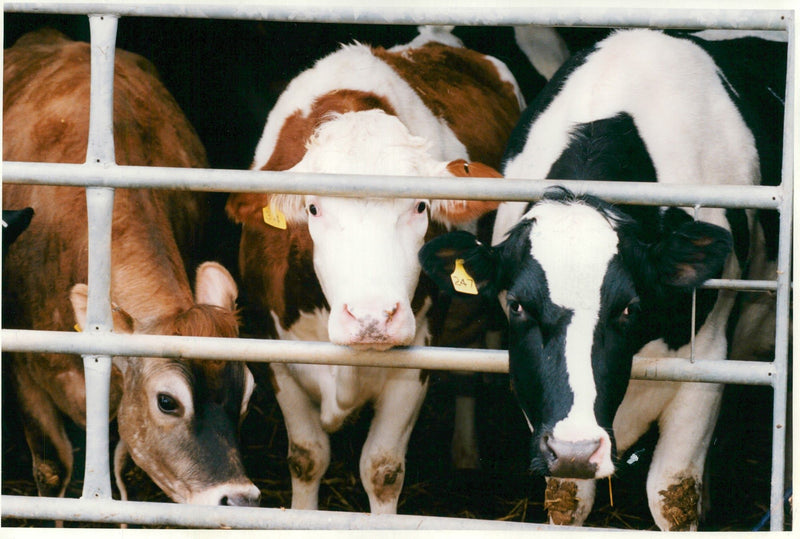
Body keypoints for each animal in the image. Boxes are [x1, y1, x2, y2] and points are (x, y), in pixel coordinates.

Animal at [2, 29, 260, 508]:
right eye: (167, 401)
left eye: (249, 393)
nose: (241, 498)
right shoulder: (25, 372)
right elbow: (52, 469)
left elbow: (119, 475)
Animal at [422, 30, 784, 532]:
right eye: (517, 305)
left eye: (629, 307)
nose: (577, 447)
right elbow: (568, 499)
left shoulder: (708, 359)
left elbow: (672, 495)